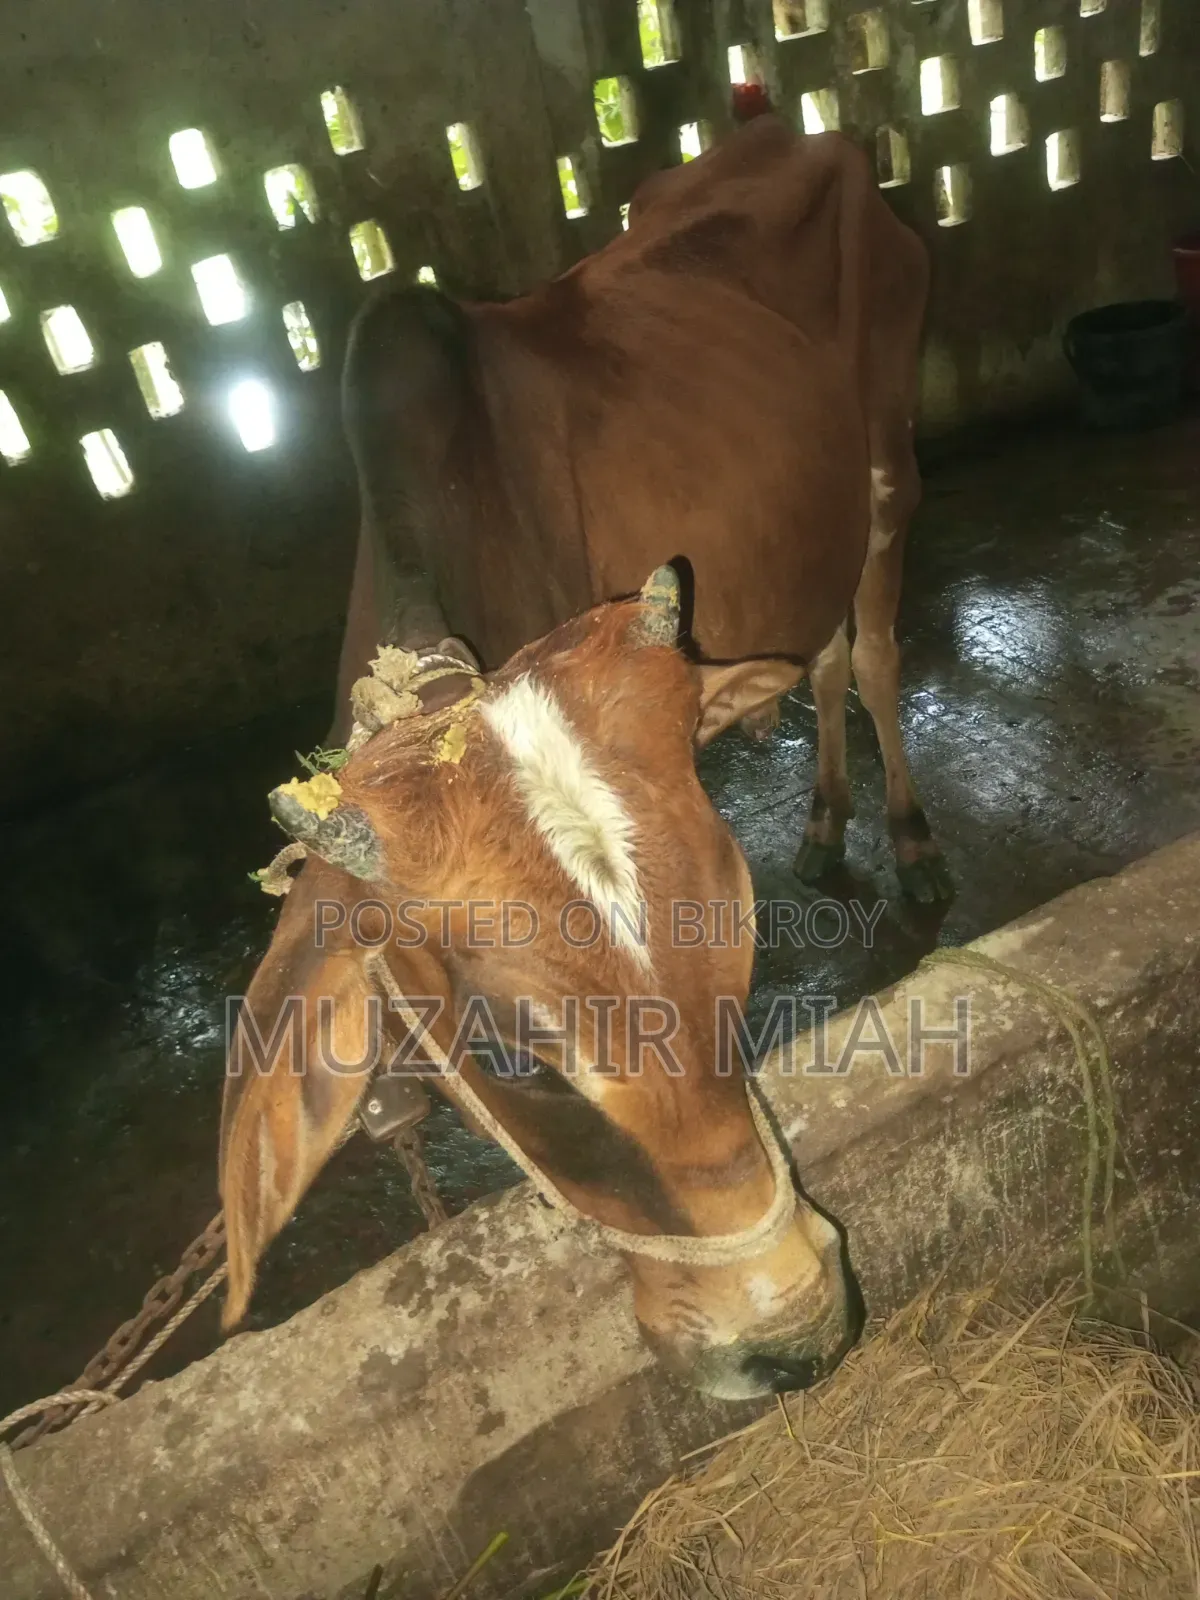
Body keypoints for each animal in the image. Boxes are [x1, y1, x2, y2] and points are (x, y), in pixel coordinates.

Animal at [219, 116, 947, 1400]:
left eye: (739, 940)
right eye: (508, 1051)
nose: (795, 1330)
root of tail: (797, 133)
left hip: (886, 466)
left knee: (870, 652)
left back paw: (904, 840)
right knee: (818, 657)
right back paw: (821, 823)